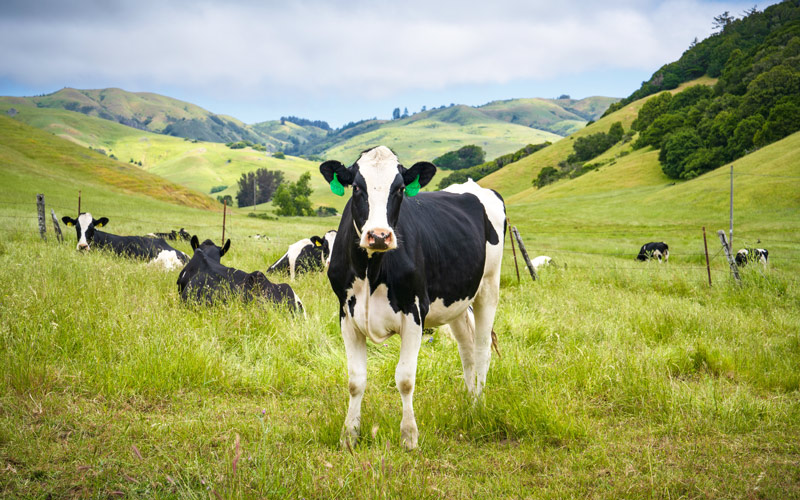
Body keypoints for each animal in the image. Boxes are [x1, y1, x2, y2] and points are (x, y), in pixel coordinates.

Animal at [320, 146, 505, 450]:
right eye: (357, 187)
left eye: (400, 189)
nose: (379, 236)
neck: (372, 269)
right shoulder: (346, 314)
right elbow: (355, 380)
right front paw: (349, 435)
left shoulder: (414, 311)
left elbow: (405, 378)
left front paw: (409, 436)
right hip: (454, 301)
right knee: (466, 349)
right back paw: (468, 404)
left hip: (489, 287)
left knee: (481, 350)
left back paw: (478, 407)